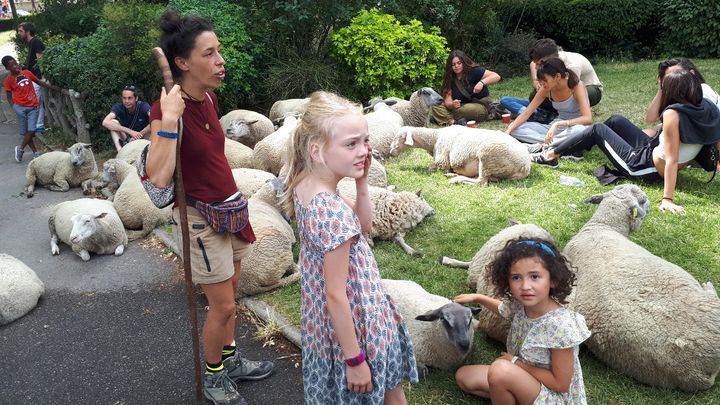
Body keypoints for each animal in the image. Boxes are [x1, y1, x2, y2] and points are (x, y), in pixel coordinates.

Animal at [388, 126, 536, 186]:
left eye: (399, 137)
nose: (390, 151)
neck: (435, 137)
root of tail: (525, 167)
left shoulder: (442, 160)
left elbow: (431, 167)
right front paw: (450, 172)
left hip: (488, 155)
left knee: (481, 182)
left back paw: (455, 179)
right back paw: (453, 175)